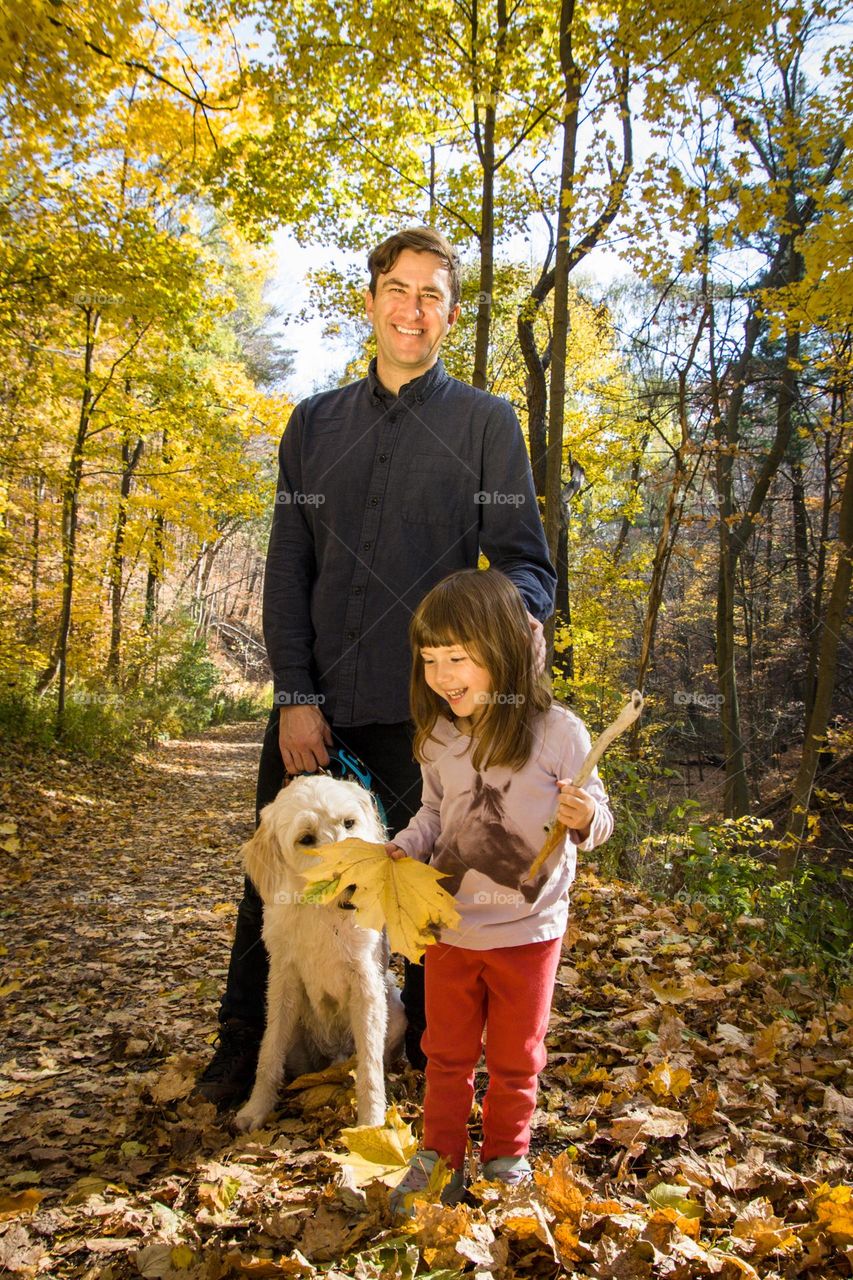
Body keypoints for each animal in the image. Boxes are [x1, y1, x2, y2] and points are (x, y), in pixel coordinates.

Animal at [233, 768, 404, 1131]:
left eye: (349, 823)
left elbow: (370, 1067)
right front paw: (256, 1108)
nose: (354, 881)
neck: (324, 911)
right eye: (306, 839)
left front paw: (371, 1126)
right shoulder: (282, 980)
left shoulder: (366, 985)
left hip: (393, 1005)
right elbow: (268, 1054)